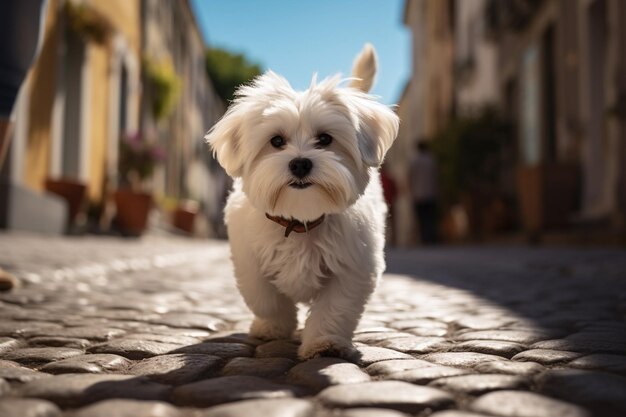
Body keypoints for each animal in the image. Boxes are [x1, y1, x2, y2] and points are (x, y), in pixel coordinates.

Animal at [207, 44, 398, 358]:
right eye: (276, 141)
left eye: (325, 139)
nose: (299, 163)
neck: (300, 221)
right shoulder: (249, 259)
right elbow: (266, 297)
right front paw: (273, 327)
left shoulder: (352, 266)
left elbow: (335, 306)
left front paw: (324, 343)